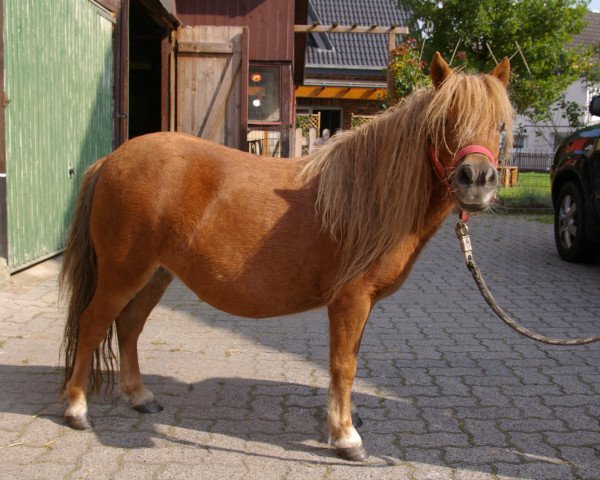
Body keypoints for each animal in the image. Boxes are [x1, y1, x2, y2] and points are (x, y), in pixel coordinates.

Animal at [59, 53, 510, 462]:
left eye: (501, 125)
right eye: (445, 119)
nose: (478, 180)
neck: (366, 198)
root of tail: (110, 160)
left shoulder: (362, 305)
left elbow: (350, 359)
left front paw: (345, 421)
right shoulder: (350, 300)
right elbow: (343, 364)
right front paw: (346, 437)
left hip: (155, 274)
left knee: (128, 326)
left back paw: (140, 397)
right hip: (123, 272)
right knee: (94, 323)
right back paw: (77, 408)